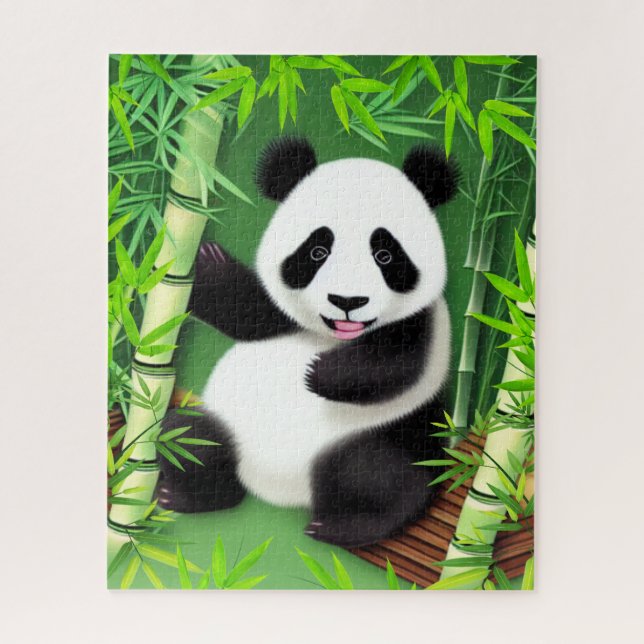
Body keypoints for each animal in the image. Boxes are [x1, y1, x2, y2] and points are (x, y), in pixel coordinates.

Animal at [158, 137, 460, 548]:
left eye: (385, 254)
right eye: (318, 251)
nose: (348, 301)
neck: (331, 335)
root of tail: (276, 490)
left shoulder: (424, 323)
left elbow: (398, 364)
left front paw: (318, 374)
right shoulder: (277, 310)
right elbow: (246, 311)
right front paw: (204, 259)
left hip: (390, 431)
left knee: (375, 475)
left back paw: (342, 526)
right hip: (226, 424)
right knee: (185, 438)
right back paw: (191, 494)